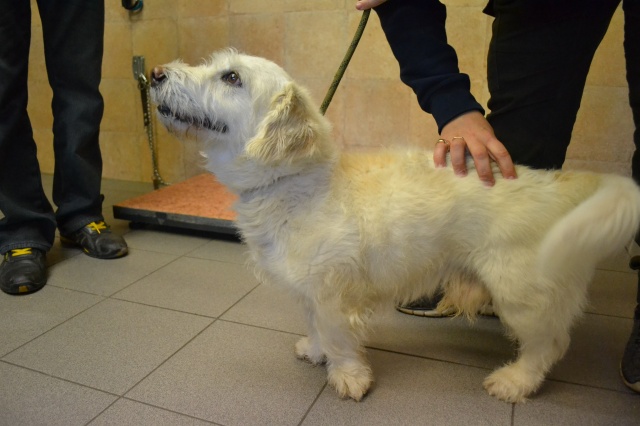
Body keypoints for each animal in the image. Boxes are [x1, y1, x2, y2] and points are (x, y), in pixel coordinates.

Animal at [150, 49, 640, 403]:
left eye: (231, 78)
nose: (154, 73)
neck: (297, 183)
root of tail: (560, 184)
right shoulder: (310, 292)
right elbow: (316, 329)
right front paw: (315, 352)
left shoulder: (334, 296)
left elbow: (339, 340)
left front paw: (348, 378)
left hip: (522, 296)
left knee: (548, 345)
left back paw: (514, 382)